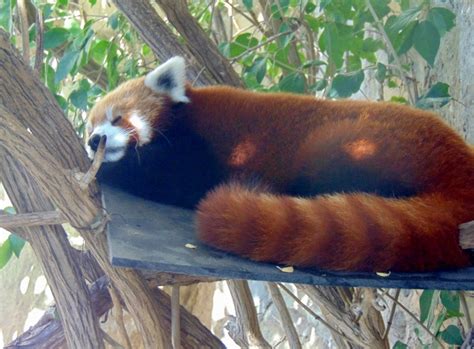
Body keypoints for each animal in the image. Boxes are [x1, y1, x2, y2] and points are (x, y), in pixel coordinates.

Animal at [87, 56, 474, 272]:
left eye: (117, 118)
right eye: (91, 126)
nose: (93, 141)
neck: (183, 117)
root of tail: (460, 163)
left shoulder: (201, 149)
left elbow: (171, 180)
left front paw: (112, 169)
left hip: (358, 144)